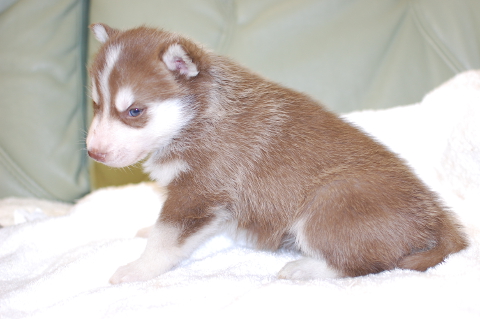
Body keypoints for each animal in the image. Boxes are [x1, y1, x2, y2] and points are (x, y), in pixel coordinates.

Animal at [85, 24, 464, 284]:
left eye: (134, 111)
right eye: (96, 104)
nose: (93, 152)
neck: (199, 117)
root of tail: (438, 216)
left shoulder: (199, 193)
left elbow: (166, 239)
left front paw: (137, 268)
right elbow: (163, 227)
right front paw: (147, 230)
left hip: (332, 201)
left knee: (367, 264)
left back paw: (305, 268)